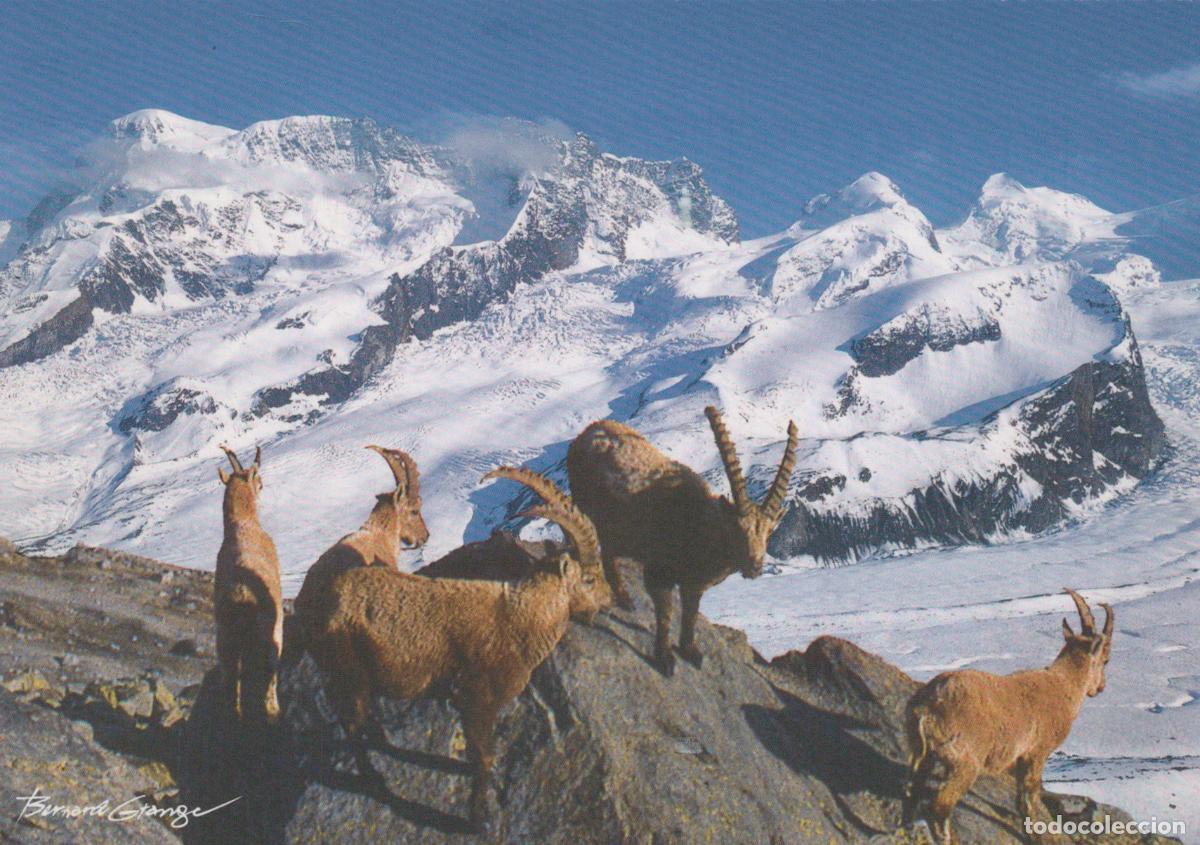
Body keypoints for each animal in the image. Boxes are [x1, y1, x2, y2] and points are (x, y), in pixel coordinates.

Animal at [306, 466, 612, 832]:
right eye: (589, 579)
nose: (610, 600)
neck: (517, 618)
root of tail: (320, 603)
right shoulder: (475, 701)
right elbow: (483, 758)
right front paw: (478, 819)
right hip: (349, 671)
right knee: (349, 721)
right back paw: (372, 777)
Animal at [567, 405, 798, 675]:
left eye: (769, 531)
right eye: (735, 528)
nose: (755, 566)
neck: (697, 528)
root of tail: (589, 429)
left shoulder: (694, 583)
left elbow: (690, 613)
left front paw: (691, 651)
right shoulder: (658, 572)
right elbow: (666, 612)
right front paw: (665, 658)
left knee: (608, 551)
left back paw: (624, 598)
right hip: (581, 502)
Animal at [904, 589, 1114, 844]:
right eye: (1105, 660)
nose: (1101, 687)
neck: (1064, 686)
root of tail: (929, 706)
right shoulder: (1036, 753)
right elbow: (1029, 798)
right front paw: (1035, 836)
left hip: (921, 755)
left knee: (911, 794)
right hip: (964, 762)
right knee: (939, 806)